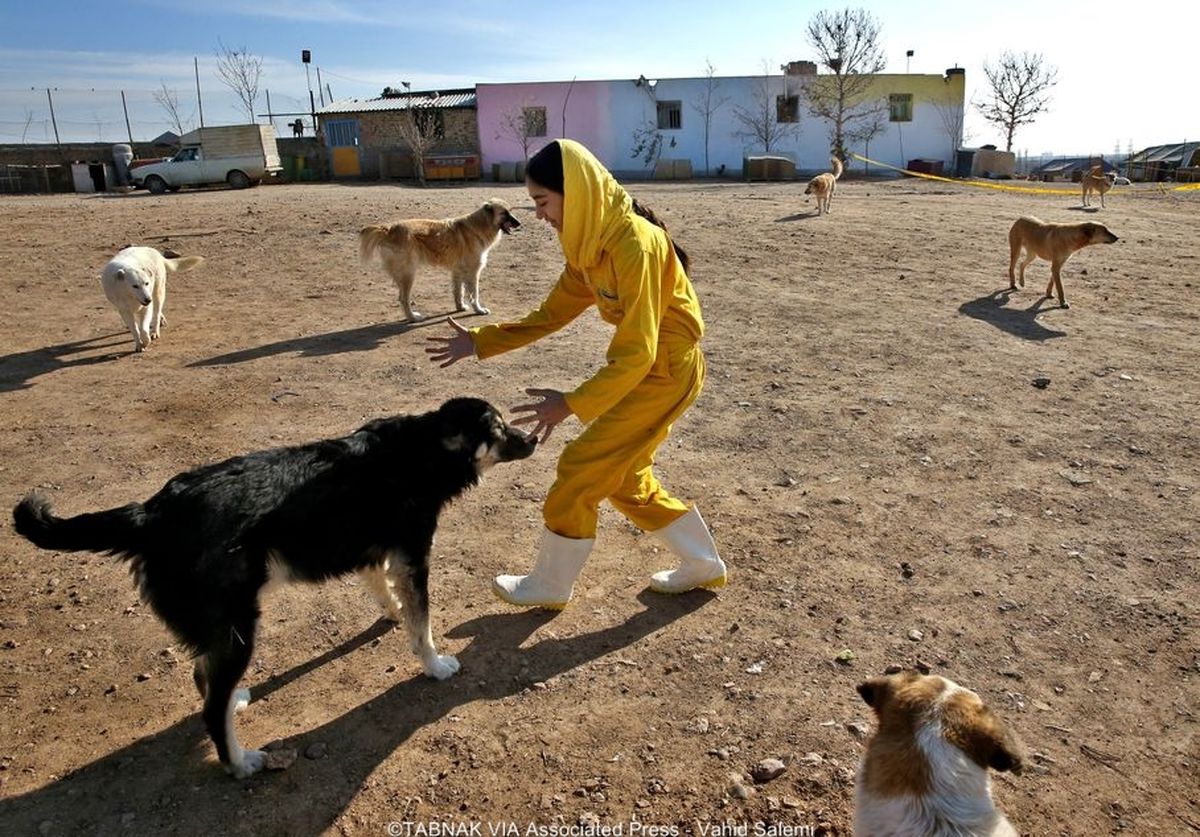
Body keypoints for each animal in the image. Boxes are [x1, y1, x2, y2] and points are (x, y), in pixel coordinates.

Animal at [10, 398, 535, 777]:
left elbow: (388, 593)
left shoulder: (370, 550)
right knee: (210, 706)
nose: (532, 438)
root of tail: (152, 512)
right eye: (499, 428)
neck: (422, 451)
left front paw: (393, 614)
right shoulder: (413, 555)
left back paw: (237, 703)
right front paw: (434, 664)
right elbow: (423, 623)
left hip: (223, 630)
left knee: (205, 679)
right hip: (239, 627)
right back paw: (241, 763)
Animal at [360, 199, 520, 323]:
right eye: (504, 213)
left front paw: (460, 307)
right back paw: (413, 318)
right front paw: (479, 310)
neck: (481, 224)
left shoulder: (458, 270)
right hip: (409, 274)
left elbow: (458, 291)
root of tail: (389, 229)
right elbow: (474, 293)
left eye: (510, 211)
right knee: (403, 299)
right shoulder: (473, 271)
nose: (519, 223)